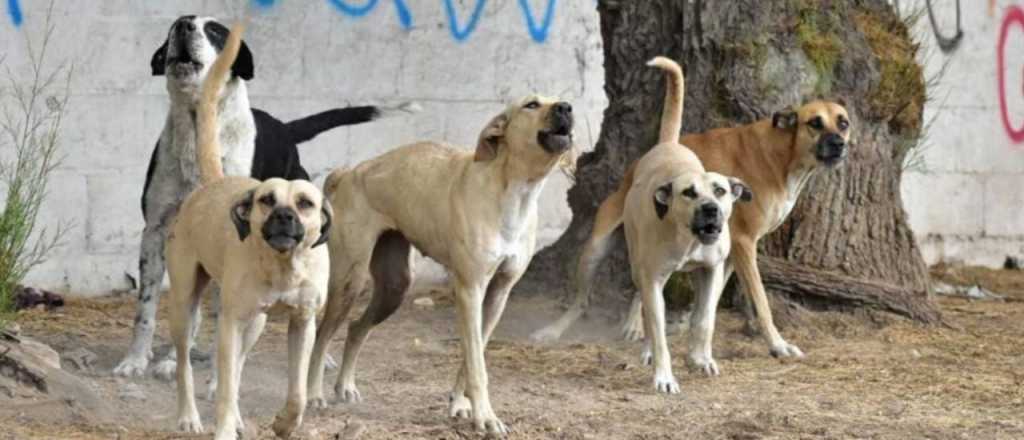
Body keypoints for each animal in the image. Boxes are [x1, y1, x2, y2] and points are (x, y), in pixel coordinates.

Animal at [114, 15, 393, 376]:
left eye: (215, 31)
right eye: (175, 25)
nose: (185, 26)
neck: (199, 130)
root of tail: (285, 129)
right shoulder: (156, 231)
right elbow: (147, 309)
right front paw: (138, 360)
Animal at [164, 21, 331, 440]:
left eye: (305, 203)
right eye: (266, 199)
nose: (285, 216)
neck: (282, 265)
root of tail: (214, 182)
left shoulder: (302, 323)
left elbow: (297, 391)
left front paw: (286, 422)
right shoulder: (230, 323)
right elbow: (222, 385)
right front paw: (222, 426)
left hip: (255, 323)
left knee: (237, 368)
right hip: (185, 304)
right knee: (186, 365)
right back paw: (188, 417)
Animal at [303, 93, 577, 433]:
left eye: (561, 100)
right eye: (531, 104)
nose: (567, 107)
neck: (514, 192)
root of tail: (350, 172)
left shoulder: (498, 294)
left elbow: (473, 356)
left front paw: (461, 405)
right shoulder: (470, 290)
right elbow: (476, 364)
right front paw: (486, 416)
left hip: (394, 288)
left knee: (355, 328)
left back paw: (345, 386)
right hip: (348, 282)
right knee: (321, 336)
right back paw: (313, 394)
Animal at [532, 70, 851, 360]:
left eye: (843, 122)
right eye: (814, 123)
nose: (839, 144)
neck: (782, 153)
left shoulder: (729, 252)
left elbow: (712, 296)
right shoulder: (745, 244)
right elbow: (761, 301)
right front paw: (778, 344)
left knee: (641, 285)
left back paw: (636, 325)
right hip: (596, 248)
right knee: (582, 300)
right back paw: (555, 330)